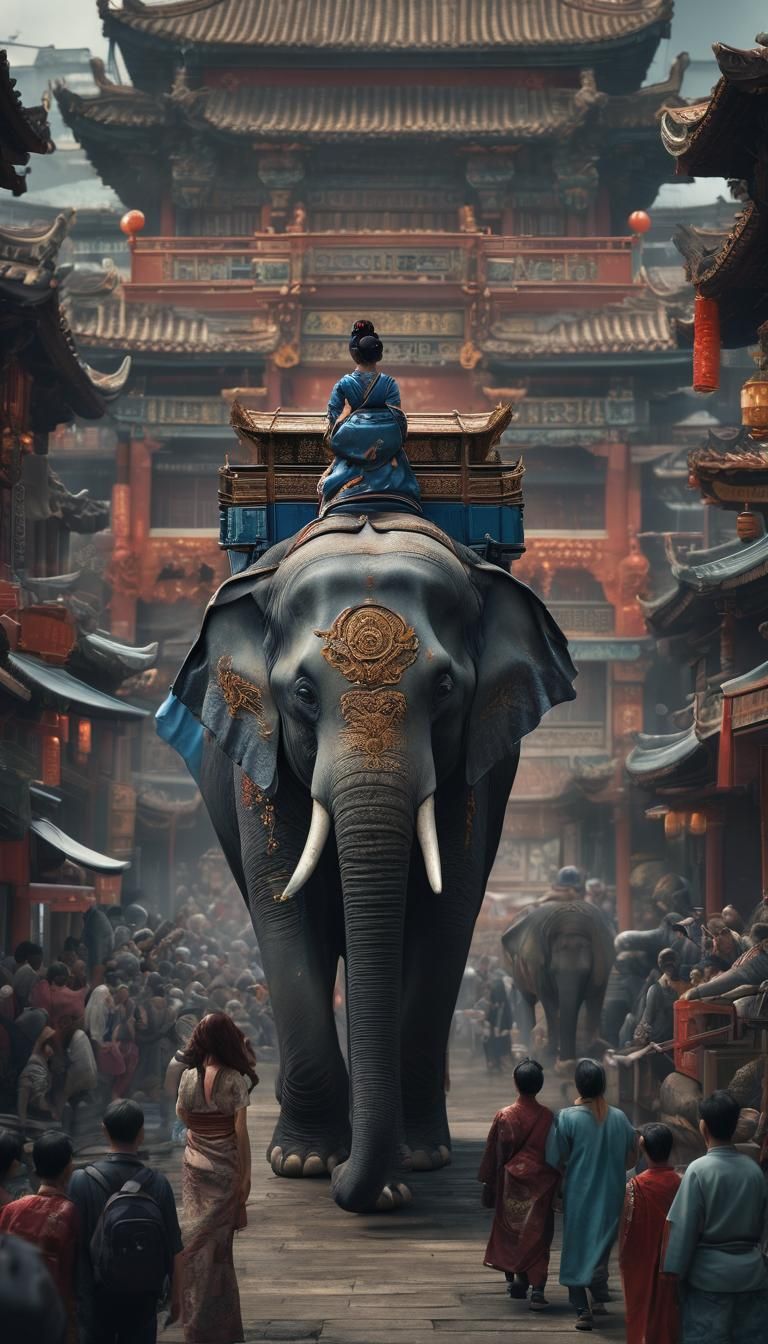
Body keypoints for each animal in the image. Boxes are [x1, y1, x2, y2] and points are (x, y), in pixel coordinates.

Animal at [159, 514, 575, 1213]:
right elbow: (282, 903)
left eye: (444, 688)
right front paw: (304, 1163)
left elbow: (446, 908)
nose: (374, 1192)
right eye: (302, 693)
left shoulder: (477, 769)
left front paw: (416, 1160)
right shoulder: (260, 757)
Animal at [501, 898, 615, 1063]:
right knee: (527, 1000)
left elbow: (595, 997)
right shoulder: (537, 966)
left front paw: (592, 1052)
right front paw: (549, 1055)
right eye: (553, 971)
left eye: (586, 972)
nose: (566, 1060)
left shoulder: (602, 963)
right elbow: (549, 1001)